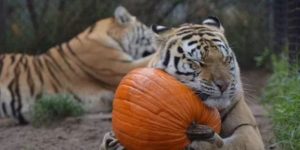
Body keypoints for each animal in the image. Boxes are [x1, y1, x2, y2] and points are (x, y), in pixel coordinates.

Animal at [101, 16, 264, 150]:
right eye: (198, 62)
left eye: (226, 59)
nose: (224, 85)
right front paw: (112, 142)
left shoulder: (249, 128)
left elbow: (234, 144)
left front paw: (204, 143)